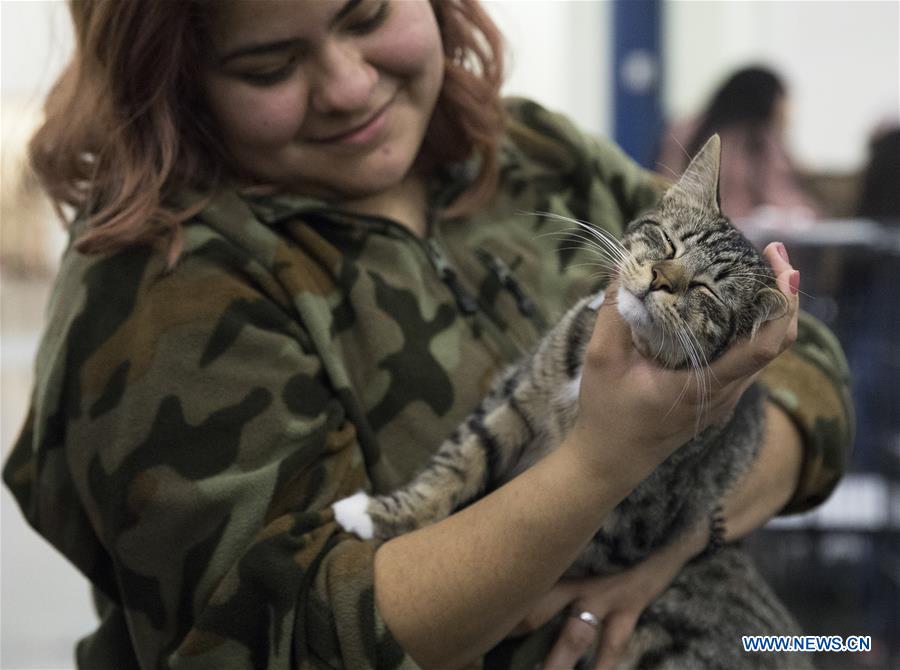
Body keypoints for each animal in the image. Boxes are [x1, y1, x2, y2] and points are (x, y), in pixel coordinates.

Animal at [334, 138, 812, 670]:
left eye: (704, 289)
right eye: (669, 243)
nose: (660, 279)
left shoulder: (623, 527)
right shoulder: (518, 397)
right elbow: (458, 465)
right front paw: (378, 514)